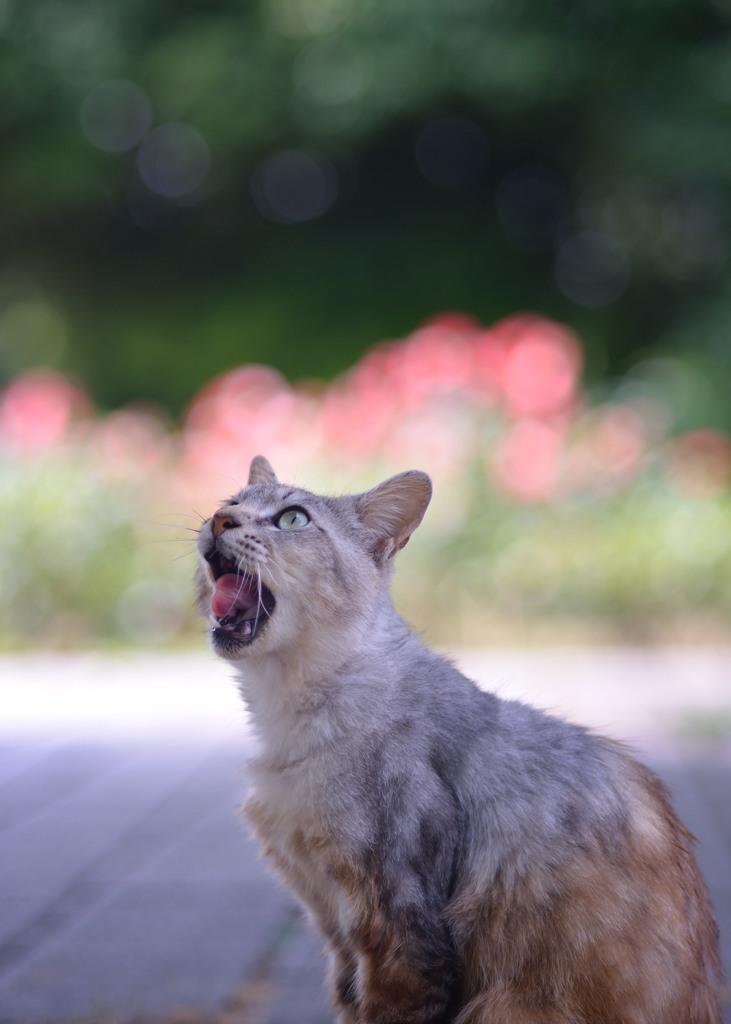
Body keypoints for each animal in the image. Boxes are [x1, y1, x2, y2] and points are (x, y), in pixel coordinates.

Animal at [196, 458, 720, 1024]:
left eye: (292, 518)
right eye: (231, 501)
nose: (220, 520)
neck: (287, 720)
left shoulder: (401, 937)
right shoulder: (335, 934)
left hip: (506, 1004)